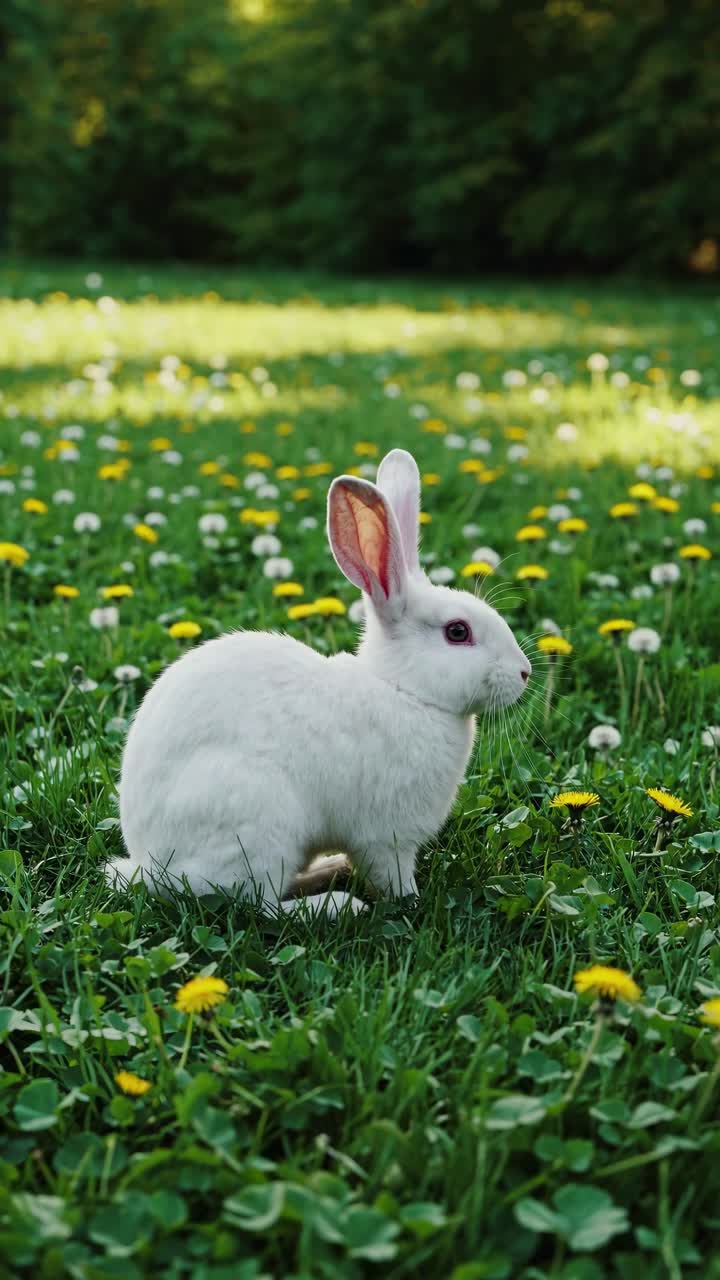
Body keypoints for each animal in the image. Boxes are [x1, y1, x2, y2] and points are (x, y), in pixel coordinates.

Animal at [107, 448, 531, 915]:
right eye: (458, 632)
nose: (525, 672)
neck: (402, 690)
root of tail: (149, 864)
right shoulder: (386, 838)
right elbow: (394, 876)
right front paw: (411, 902)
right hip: (259, 825)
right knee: (262, 905)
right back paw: (337, 903)